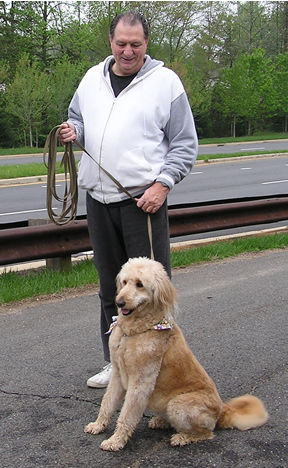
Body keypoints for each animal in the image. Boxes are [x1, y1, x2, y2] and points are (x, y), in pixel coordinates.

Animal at [84, 256, 268, 450]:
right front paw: (98, 425)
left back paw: (182, 437)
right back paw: (161, 421)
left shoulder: (141, 382)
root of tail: (222, 410)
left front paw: (115, 441)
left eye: (140, 284)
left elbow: (126, 415)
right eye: (125, 282)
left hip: (178, 405)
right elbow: (107, 403)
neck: (134, 331)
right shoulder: (118, 375)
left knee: (207, 433)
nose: (119, 302)